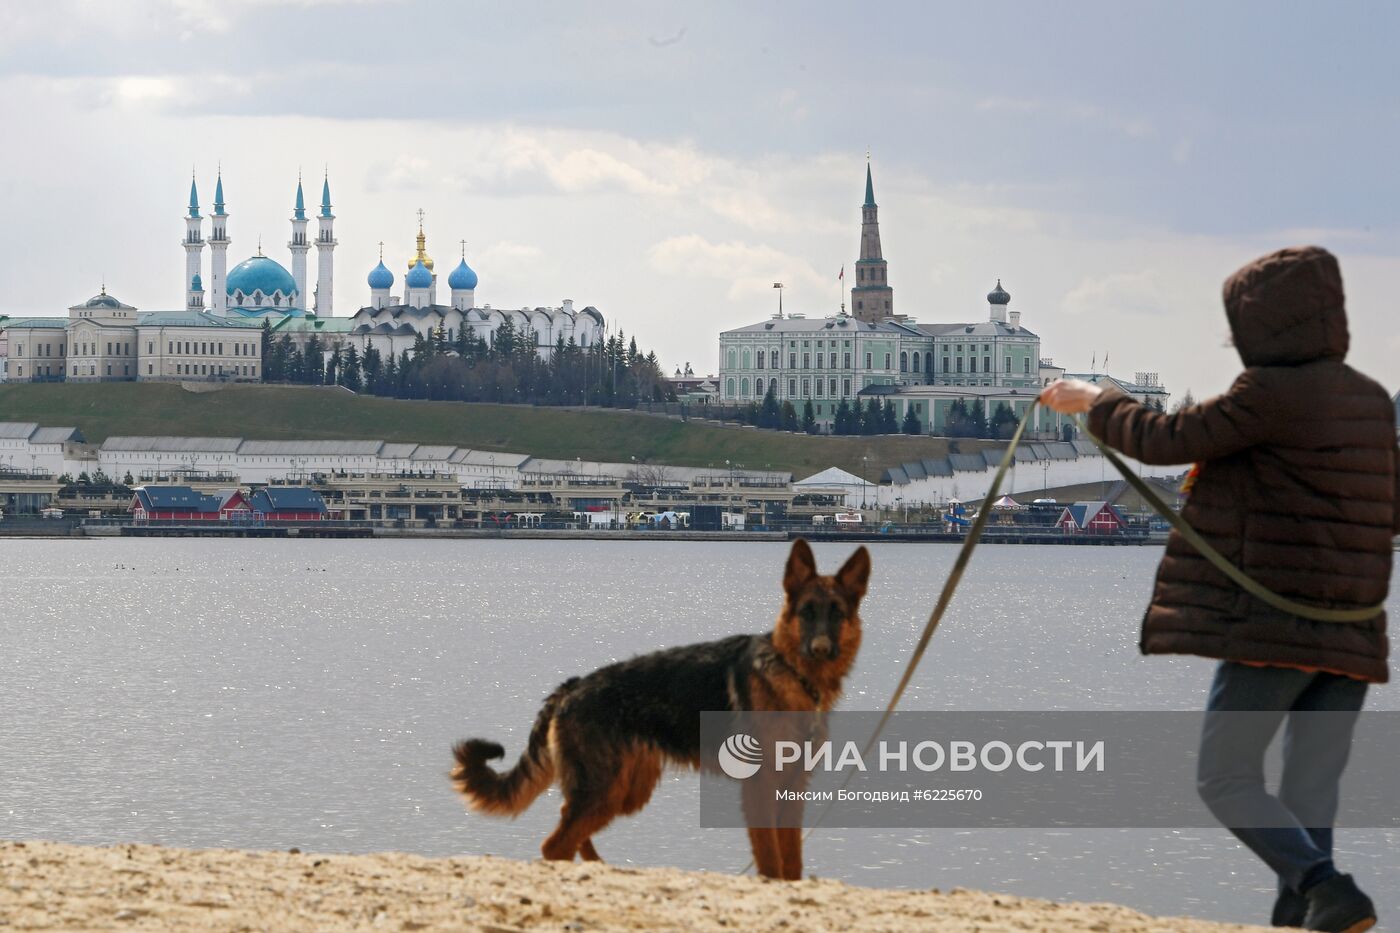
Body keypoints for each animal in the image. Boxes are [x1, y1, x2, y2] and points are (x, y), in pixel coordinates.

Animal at [450, 537, 862, 879]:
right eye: (807, 612)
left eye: (836, 613)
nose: (821, 650)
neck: (791, 671)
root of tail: (573, 686)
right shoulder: (760, 788)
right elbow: (771, 857)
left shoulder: (792, 788)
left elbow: (791, 859)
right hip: (605, 789)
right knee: (556, 843)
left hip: (620, 791)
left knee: (568, 824)